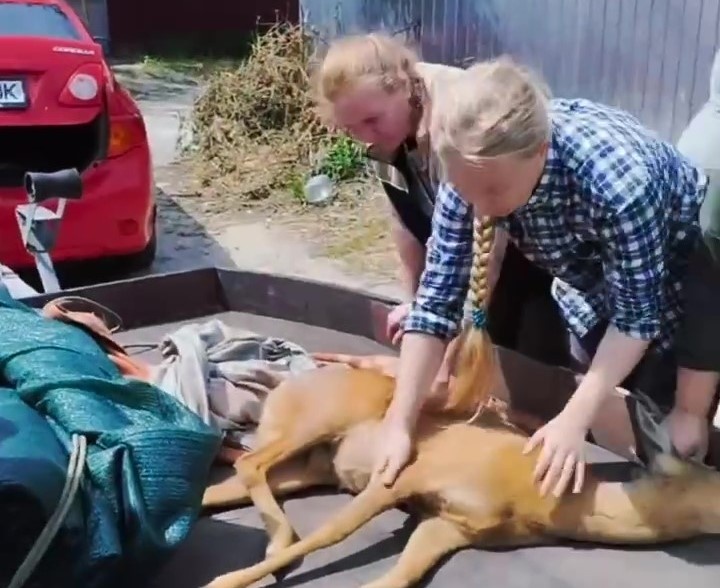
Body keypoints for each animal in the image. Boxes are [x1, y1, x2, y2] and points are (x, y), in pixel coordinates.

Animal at [201, 350, 720, 588]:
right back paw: (274, 541)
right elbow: (333, 531)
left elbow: (398, 578)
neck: (538, 499)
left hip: (308, 468)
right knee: (249, 460)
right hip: (313, 426)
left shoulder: (449, 526)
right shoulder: (407, 475)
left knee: (222, 485)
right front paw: (224, 581)